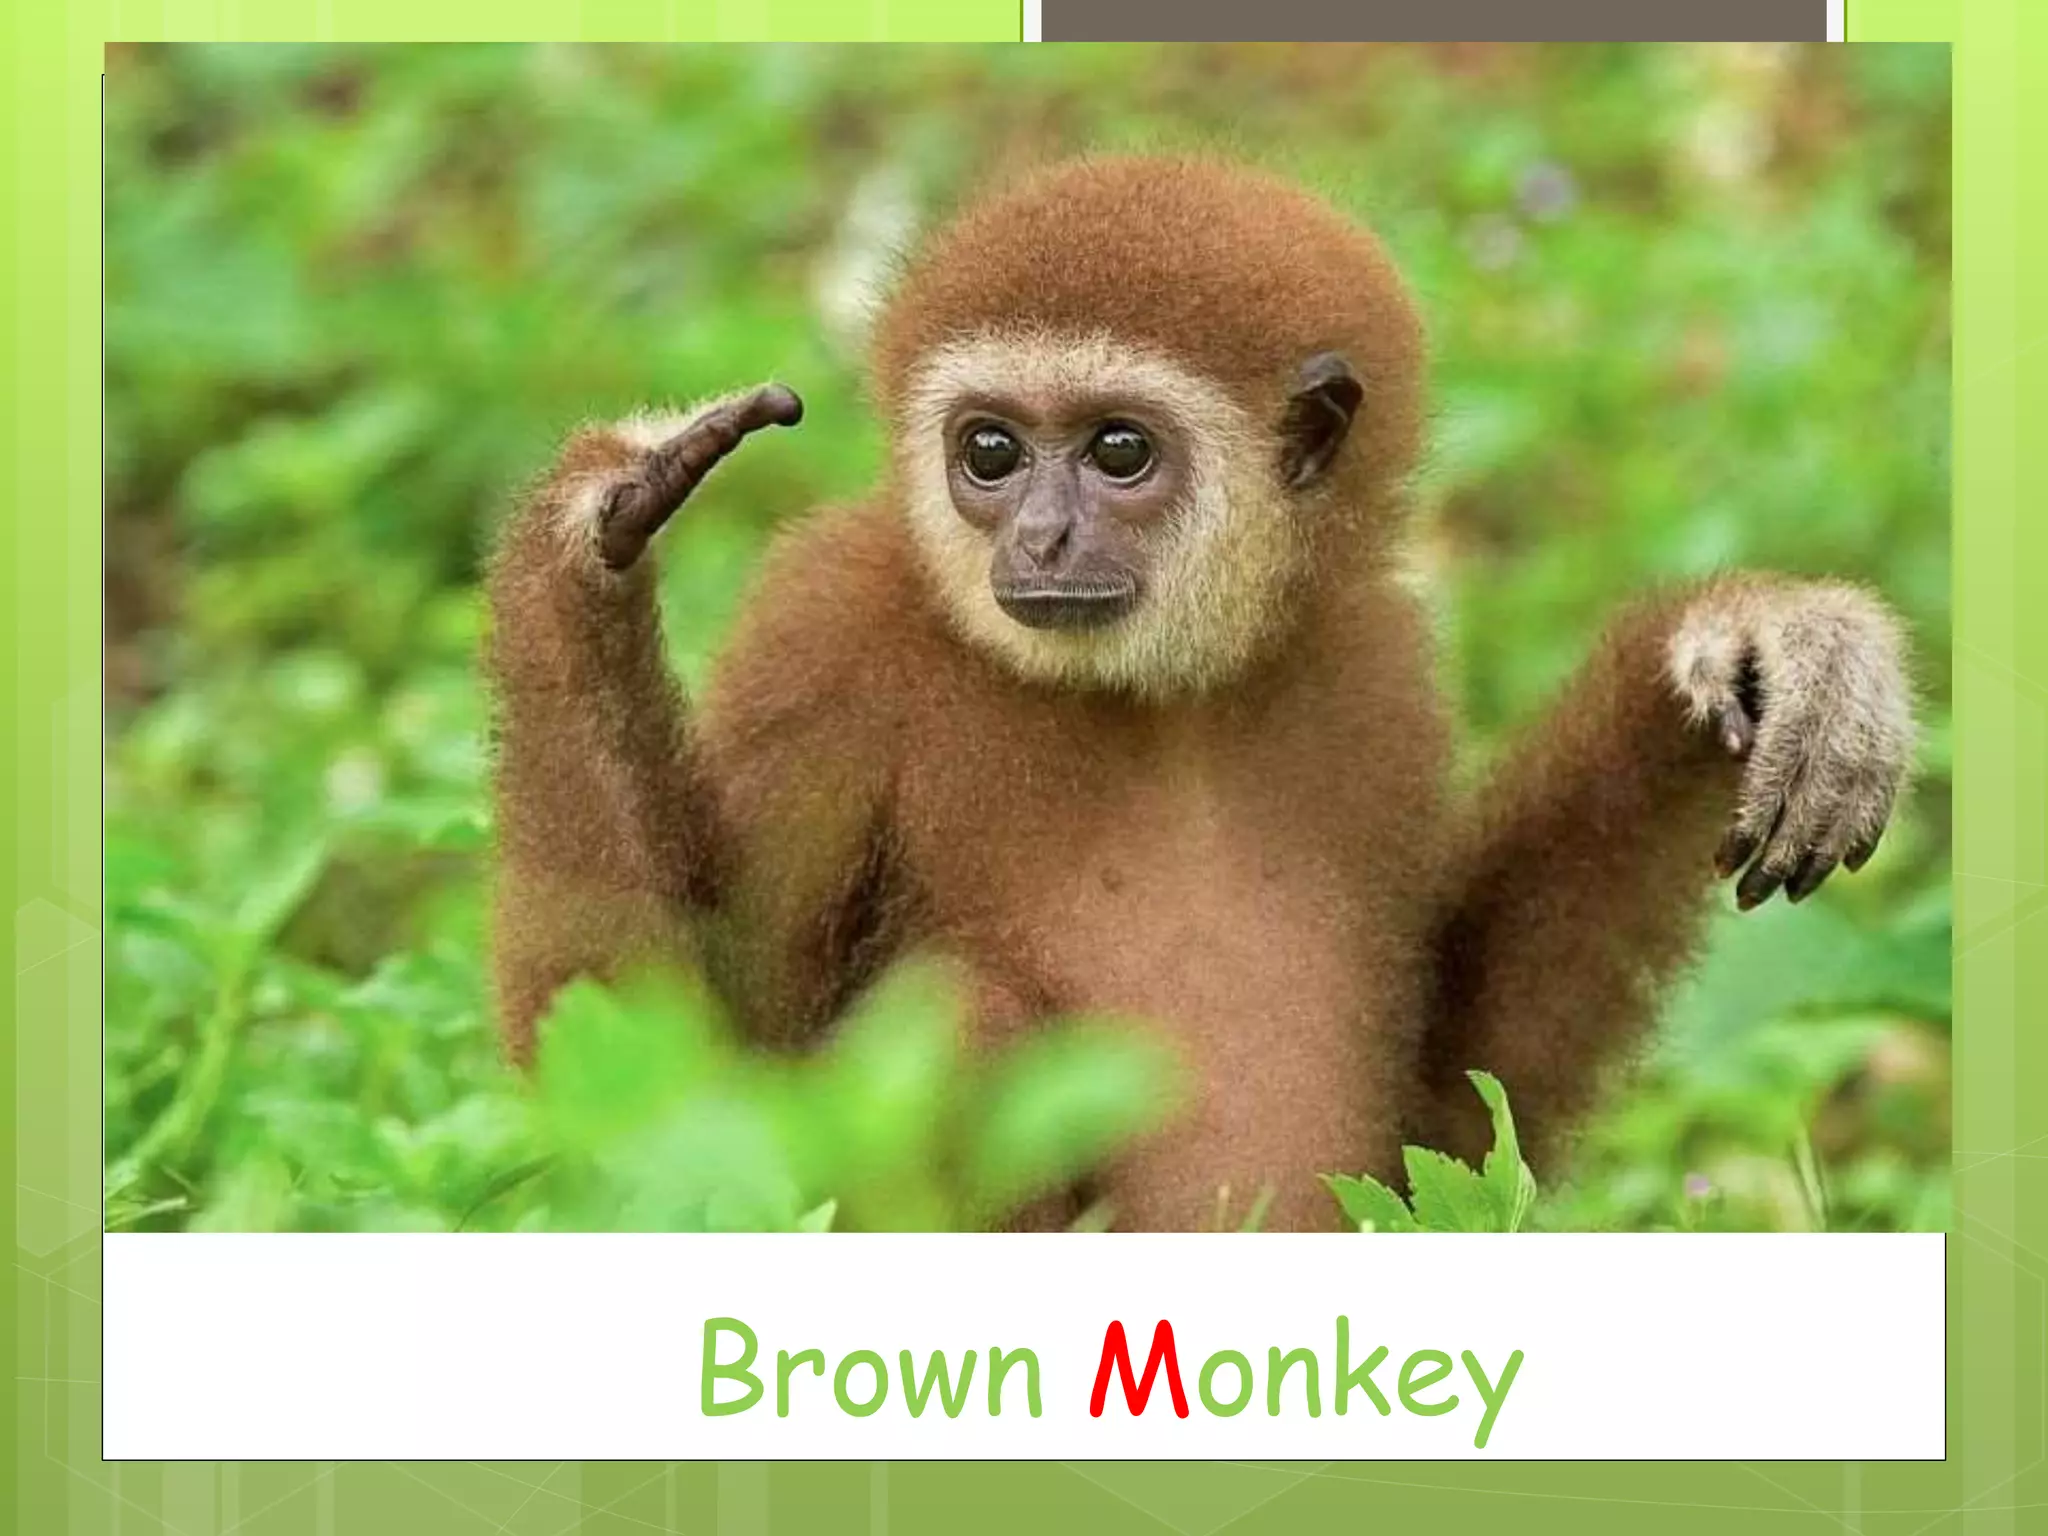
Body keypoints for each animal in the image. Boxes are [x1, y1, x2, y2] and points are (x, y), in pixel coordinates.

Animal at [483, 156, 1916, 1231]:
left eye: (1118, 450)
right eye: (989, 451)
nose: (1040, 537)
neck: (1157, 700)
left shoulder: (1375, 664)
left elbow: (1455, 1108)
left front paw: (1747, 646)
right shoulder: (822, 636)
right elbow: (674, 1106)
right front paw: (589, 534)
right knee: (967, 1013)